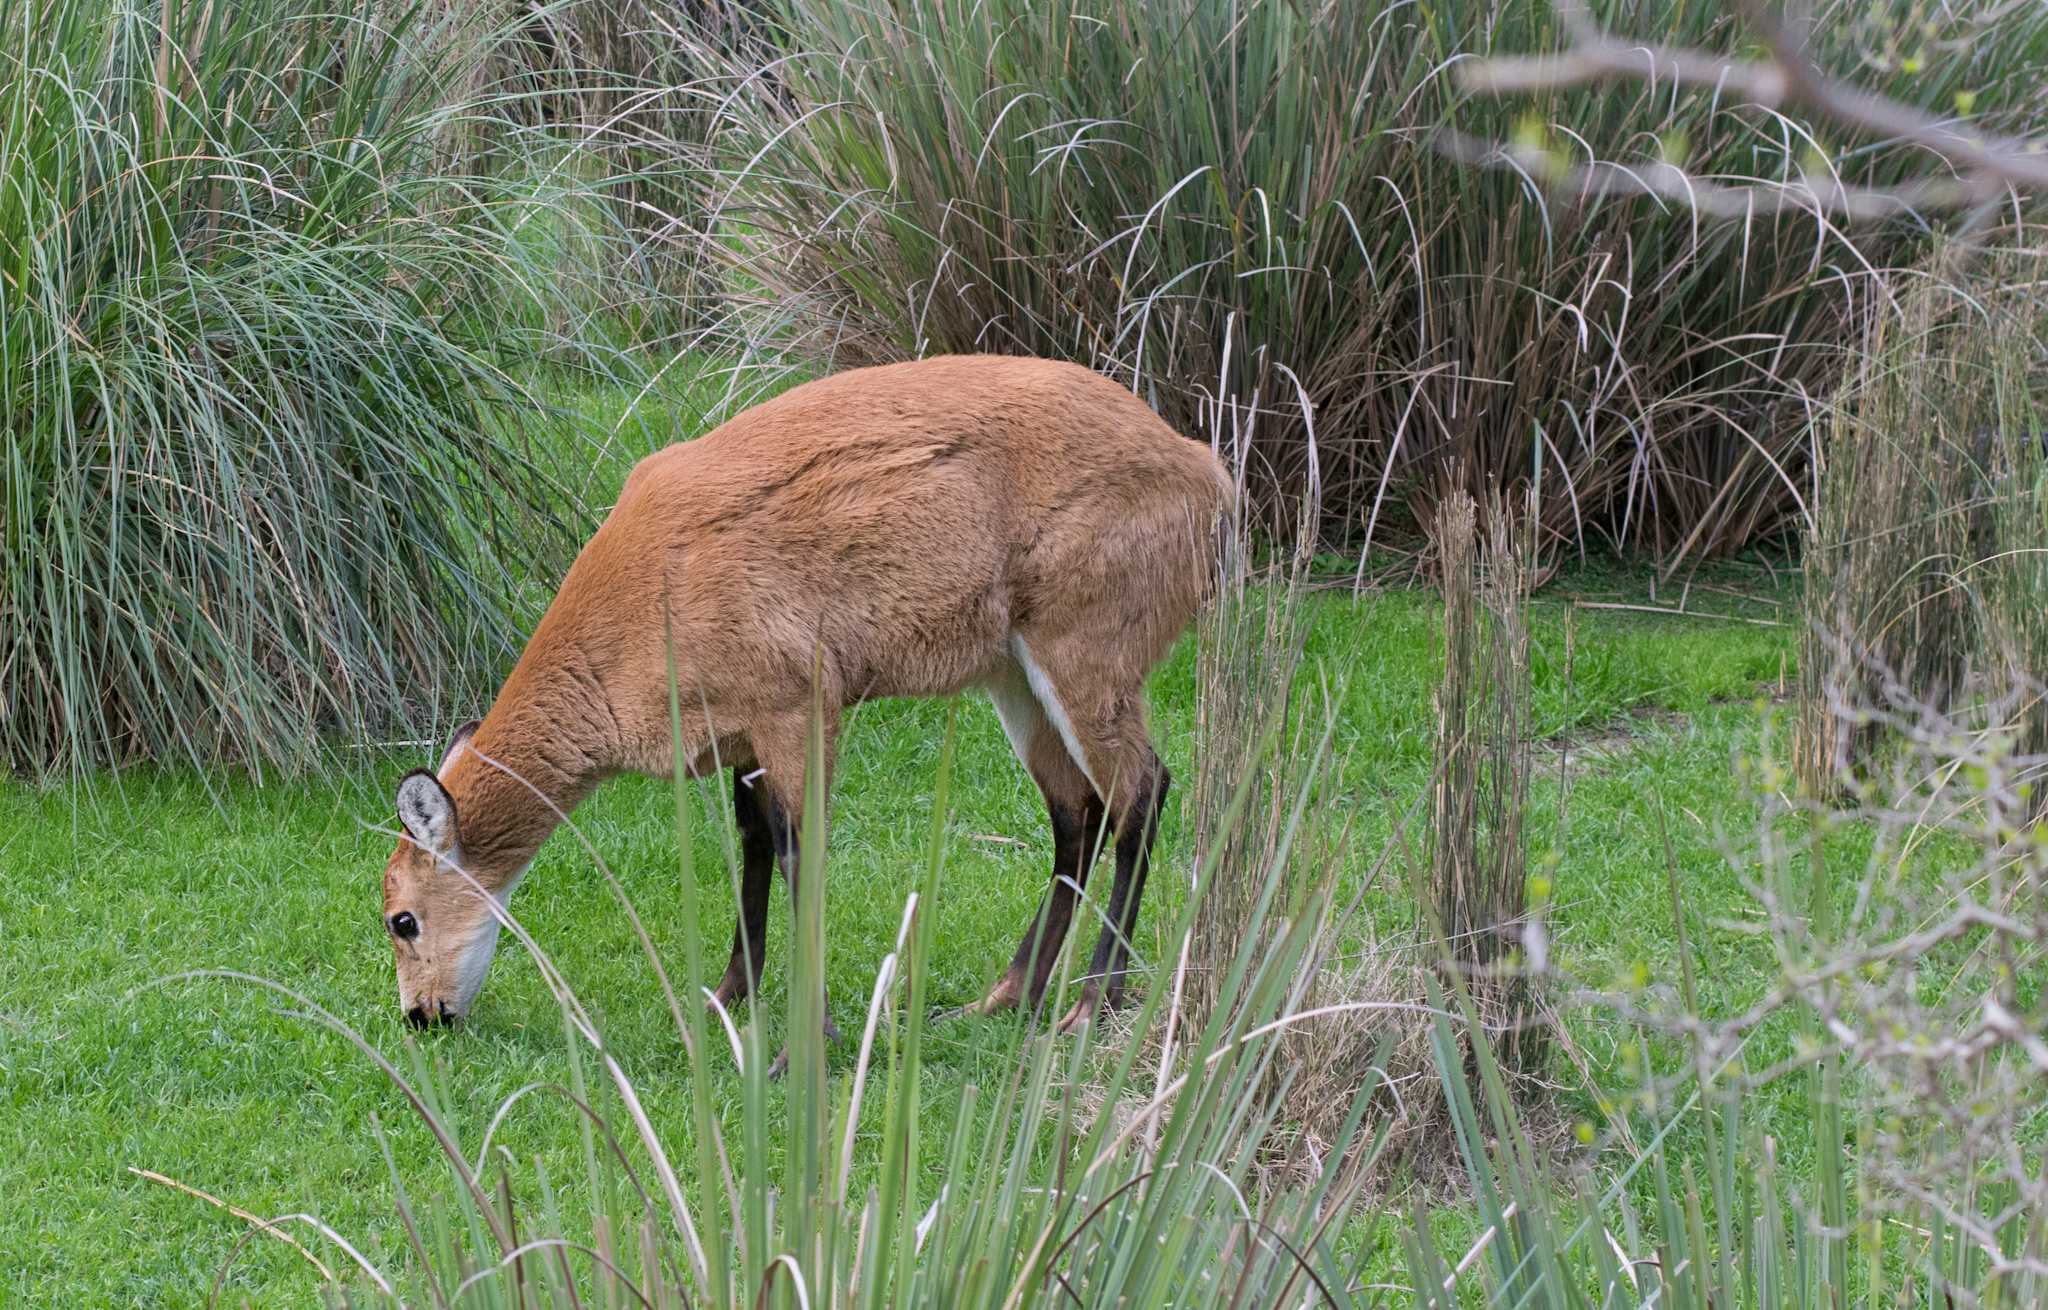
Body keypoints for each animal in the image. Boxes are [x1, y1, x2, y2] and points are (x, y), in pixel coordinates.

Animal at [382, 352, 1228, 1056]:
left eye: (400, 917)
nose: (421, 1016)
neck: (637, 607)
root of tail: (1206, 473)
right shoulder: (741, 731)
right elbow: (754, 842)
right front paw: (727, 997)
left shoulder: (801, 701)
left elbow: (802, 854)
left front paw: (804, 1044)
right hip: (1011, 672)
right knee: (1077, 812)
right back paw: (1003, 997)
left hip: (1088, 646)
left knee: (1143, 790)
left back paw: (1092, 1005)